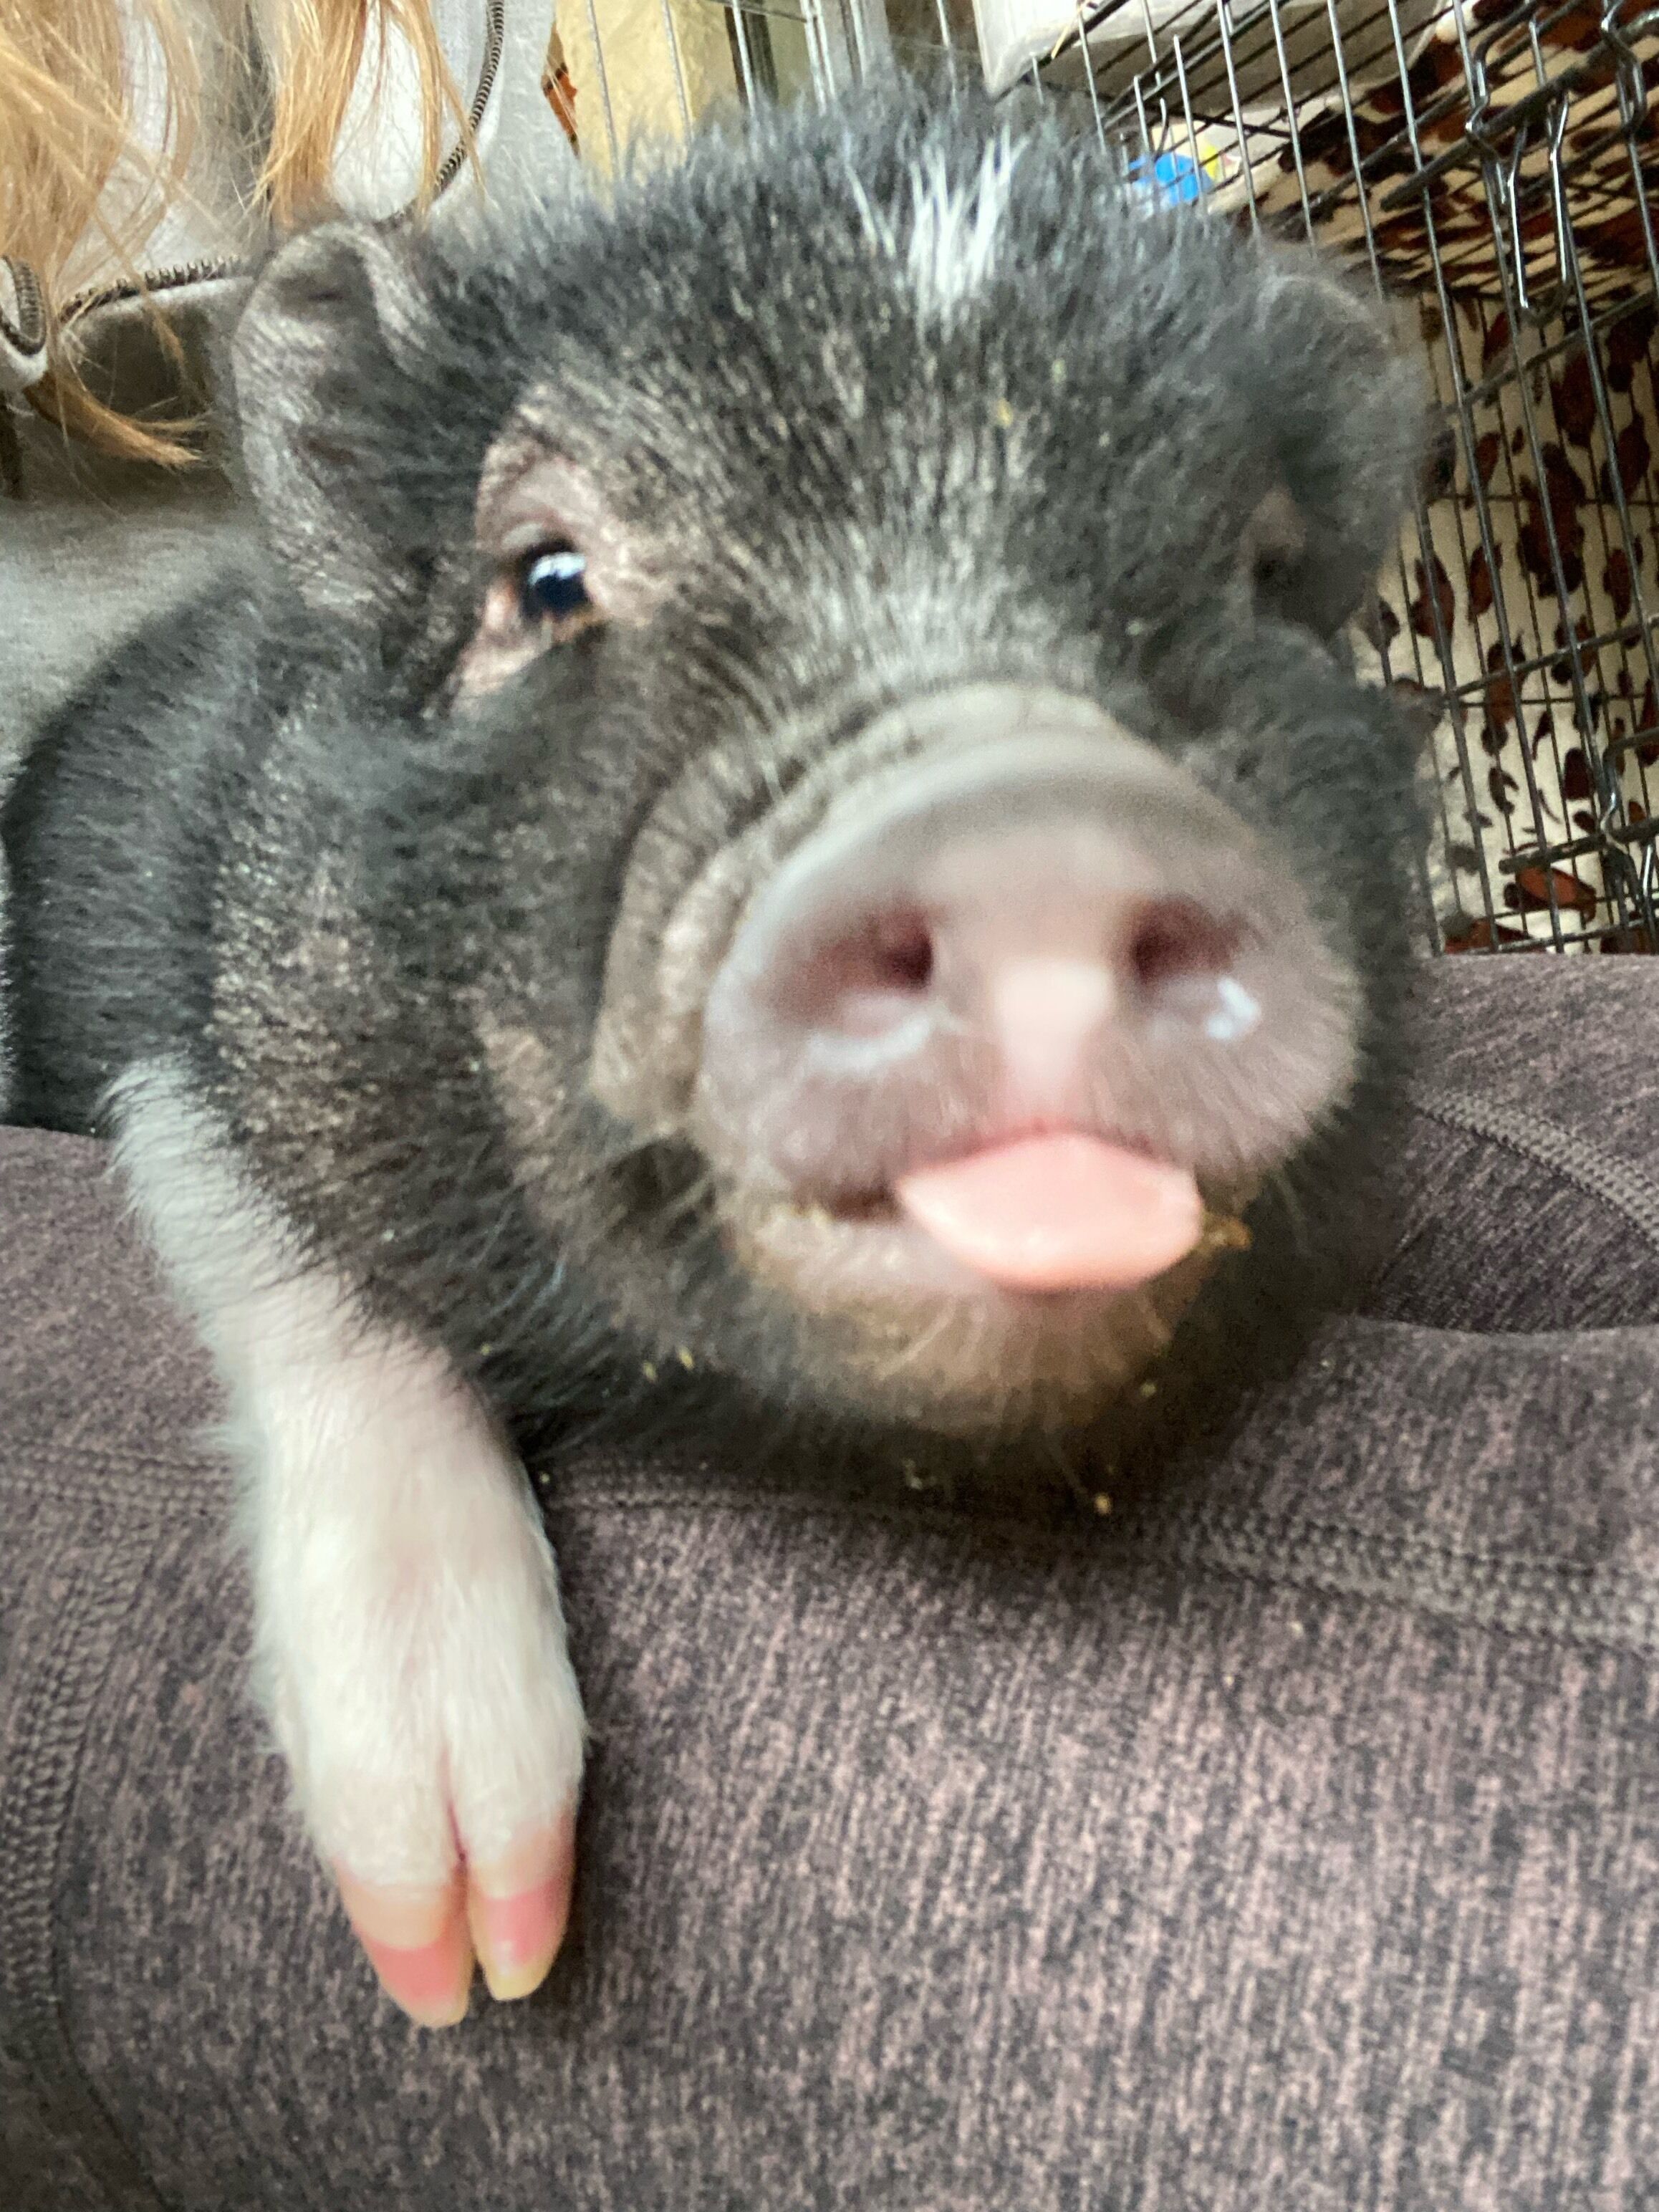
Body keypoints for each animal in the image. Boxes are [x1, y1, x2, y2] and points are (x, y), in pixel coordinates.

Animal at [0, 90, 1427, 2026]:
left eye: (1264, 586)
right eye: (544, 577)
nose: (1025, 814)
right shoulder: (145, 967)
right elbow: (243, 1203)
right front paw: (469, 1962)